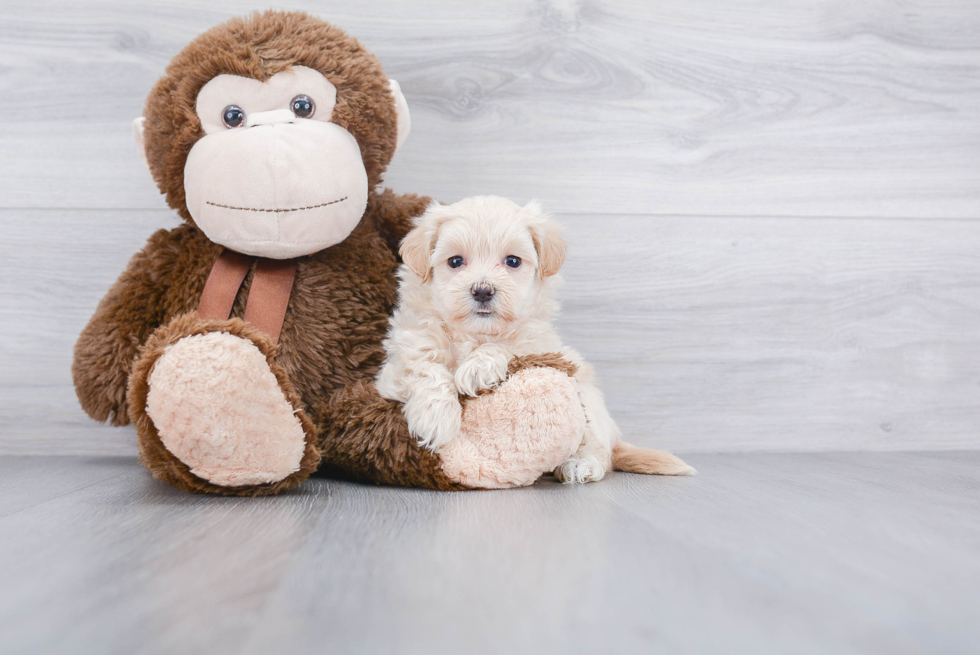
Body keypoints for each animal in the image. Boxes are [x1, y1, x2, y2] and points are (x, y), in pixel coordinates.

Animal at [372, 195, 692, 482]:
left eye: (513, 261)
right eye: (455, 261)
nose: (483, 290)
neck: (474, 333)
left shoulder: (538, 344)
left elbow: (508, 346)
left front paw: (478, 367)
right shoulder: (398, 363)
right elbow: (425, 366)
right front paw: (435, 417)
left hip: (587, 401)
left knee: (600, 450)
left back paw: (580, 465)